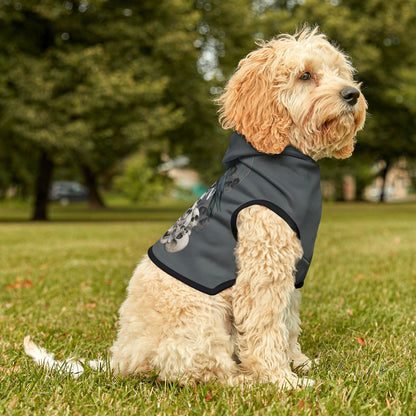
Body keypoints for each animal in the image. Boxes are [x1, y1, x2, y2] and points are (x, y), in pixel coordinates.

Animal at [24, 27, 366, 388]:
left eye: (340, 72)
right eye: (305, 75)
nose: (352, 94)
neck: (284, 157)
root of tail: (122, 358)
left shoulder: (291, 269)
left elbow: (288, 322)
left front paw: (298, 362)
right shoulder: (262, 269)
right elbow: (266, 327)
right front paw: (281, 380)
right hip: (202, 317)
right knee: (200, 371)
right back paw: (244, 380)